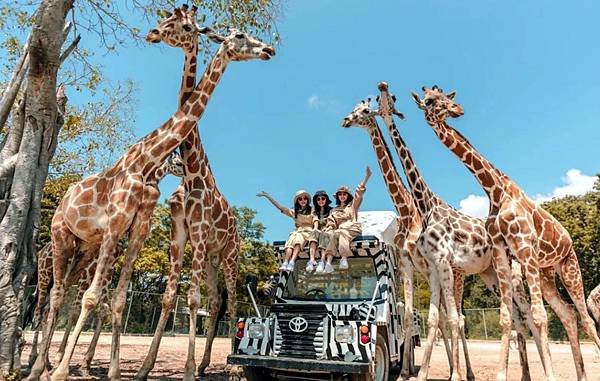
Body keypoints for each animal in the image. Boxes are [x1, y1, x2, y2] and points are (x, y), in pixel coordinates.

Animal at [28, 151, 183, 372]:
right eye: (177, 161)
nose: (185, 170)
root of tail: (42, 251)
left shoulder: (104, 273)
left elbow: (103, 309)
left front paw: (83, 362)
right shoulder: (92, 273)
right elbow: (81, 309)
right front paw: (66, 360)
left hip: (68, 273)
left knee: (51, 304)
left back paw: (45, 359)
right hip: (45, 273)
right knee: (41, 307)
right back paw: (37, 358)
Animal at [136, 7, 260, 378]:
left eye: (185, 26)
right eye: (166, 20)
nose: (152, 32)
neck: (191, 173)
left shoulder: (201, 232)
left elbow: (191, 299)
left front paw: (189, 369)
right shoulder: (179, 232)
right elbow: (170, 295)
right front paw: (145, 367)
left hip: (230, 255)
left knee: (230, 302)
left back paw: (233, 366)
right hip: (212, 258)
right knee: (216, 299)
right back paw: (209, 363)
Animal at [376, 81, 548, 380]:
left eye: (392, 101)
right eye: (430, 101)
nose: (458, 109)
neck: (422, 206)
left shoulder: (442, 264)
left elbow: (451, 319)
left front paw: (451, 373)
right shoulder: (428, 266)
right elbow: (434, 317)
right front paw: (421, 372)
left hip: (513, 274)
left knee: (527, 315)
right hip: (490, 275)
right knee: (516, 317)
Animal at [412, 85, 600, 380]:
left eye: (446, 98)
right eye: (430, 100)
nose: (458, 110)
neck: (494, 189)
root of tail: (569, 237)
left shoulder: (524, 249)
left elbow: (538, 317)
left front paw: (548, 375)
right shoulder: (501, 251)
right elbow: (504, 319)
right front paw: (501, 374)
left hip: (568, 265)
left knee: (583, 318)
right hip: (546, 273)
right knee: (568, 315)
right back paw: (580, 375)